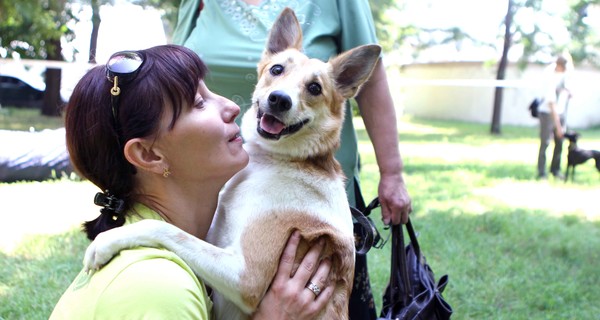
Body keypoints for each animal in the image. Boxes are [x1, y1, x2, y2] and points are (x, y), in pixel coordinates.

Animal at [81, 7, 380, 320]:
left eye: (314, 87)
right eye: (277, 70)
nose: (279, 99)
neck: (271, 161)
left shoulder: (246, 277)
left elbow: (166, 229)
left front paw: (107, 242)